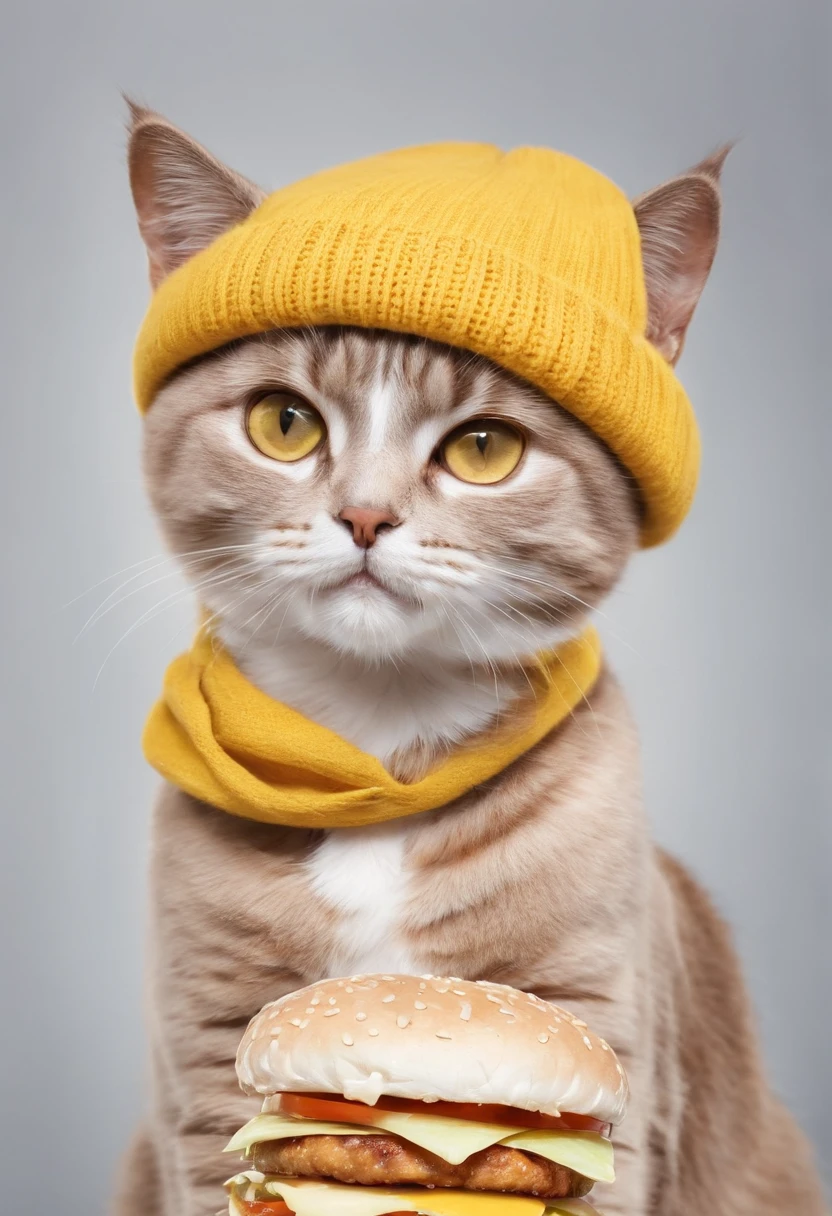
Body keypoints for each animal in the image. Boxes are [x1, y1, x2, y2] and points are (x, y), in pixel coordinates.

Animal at [111, 107, 827, 1216]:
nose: (365, 514)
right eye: (284, 422)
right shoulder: (206, 1053)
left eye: (485, 448)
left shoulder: (598, 1009)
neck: (376, 750)